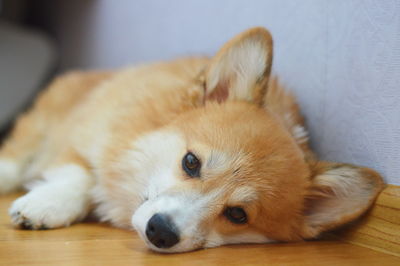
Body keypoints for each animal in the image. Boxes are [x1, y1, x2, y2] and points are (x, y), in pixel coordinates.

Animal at [0, 28, 384, 252]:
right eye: (191, 162)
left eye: (238, 215)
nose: (160, 231)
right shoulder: (83, 136)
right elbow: (81, 176)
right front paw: (46, 204)